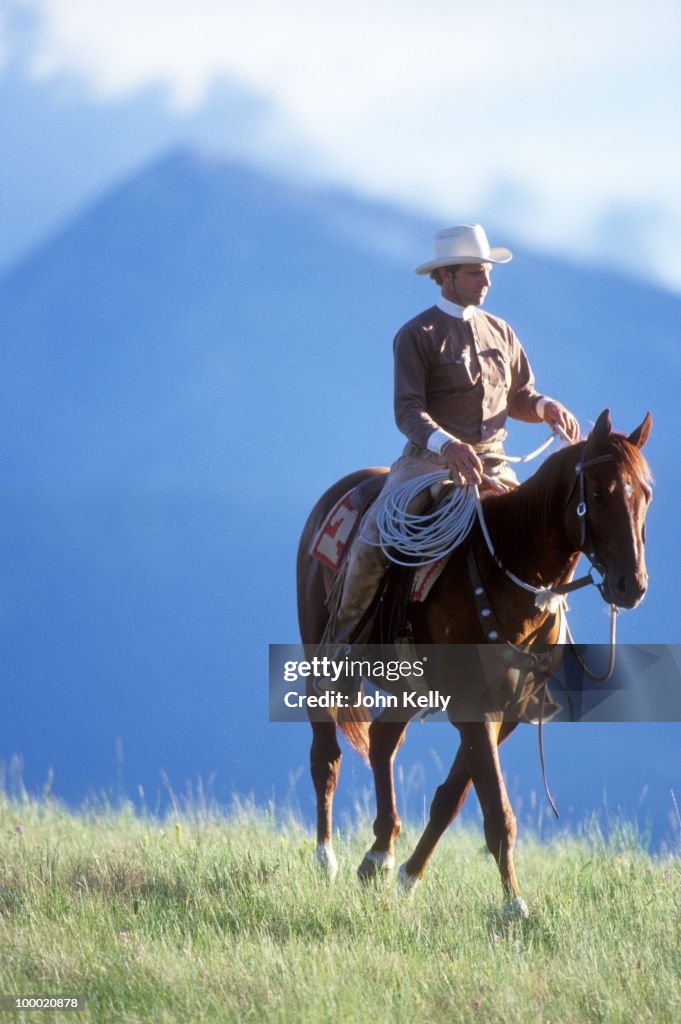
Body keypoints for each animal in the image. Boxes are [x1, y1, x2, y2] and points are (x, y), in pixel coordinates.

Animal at [296, 411, 655, 917]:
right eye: (600, 493)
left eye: (646, 493)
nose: (631, 586)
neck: (510, 571)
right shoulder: (474, 708)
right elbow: (497, 812)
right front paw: (514, 906)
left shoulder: (509, 712)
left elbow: (452, 797)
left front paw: (409, 876)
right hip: (321, 660)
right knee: (325, 756)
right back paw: (324, 858)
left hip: (410, 685)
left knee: (383, 740)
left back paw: (379, 855)